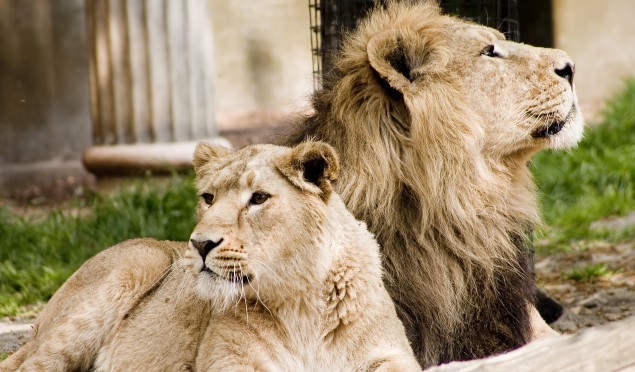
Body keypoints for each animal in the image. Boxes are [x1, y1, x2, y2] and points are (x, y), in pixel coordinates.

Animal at [4, 142, 424, 372]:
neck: (299, 299)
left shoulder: (391, 355)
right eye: (208, 198)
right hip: (136, 261)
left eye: (259, 198)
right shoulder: (229, 359)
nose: (200, 244)